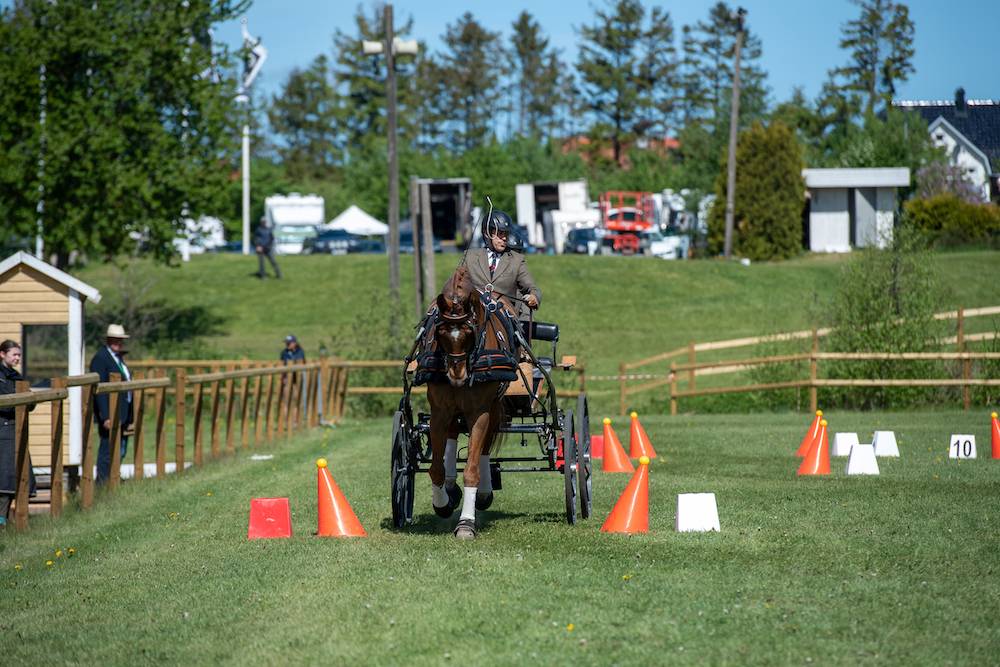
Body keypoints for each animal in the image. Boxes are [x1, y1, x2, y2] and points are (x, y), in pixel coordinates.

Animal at [422, 264, 520, 540]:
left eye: (469, 331)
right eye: (441, 332)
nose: (458, 375)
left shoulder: (479, 411)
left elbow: (472, 469)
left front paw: (466, 523)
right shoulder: (439, 411)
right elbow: (436, 468)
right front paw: (442, 503)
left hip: (492, 407)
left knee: (485, 446)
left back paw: (484, 494)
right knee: (453, 434)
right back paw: (450, 487)